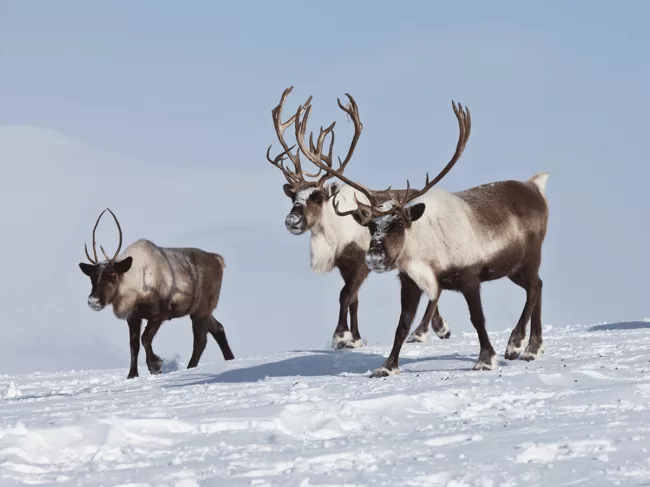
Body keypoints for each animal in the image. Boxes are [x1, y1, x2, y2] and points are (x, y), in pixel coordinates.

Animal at [78, 208, 235, 379]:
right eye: (92, 276)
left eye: (113, 275)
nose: (93, 300)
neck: (133, 285)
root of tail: (218, 260)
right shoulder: (133, 317)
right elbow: (133, 345)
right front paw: (132, 375)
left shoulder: (160, 314)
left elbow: (145, 338)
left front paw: (156, 366)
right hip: (201, 310)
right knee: (218, 329)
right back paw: (230, 360)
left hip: (201, 310)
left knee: (200, 340)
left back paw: (191, 368)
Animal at [266, 86, 451, 350]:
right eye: (293, 197)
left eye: (318, 197)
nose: (292, 220)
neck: (334, 232)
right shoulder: (345, 266)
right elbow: (353, 300)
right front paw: (355, 338)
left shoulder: (361, 264)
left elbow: (345, 295)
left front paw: (340, 336)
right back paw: (440, 327)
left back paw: (424, 331)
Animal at [300, 98, 550, 377]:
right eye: (371, 226)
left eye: (399, 223)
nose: (374, 257)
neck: (424, 252)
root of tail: (535, 188)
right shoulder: (409, 282)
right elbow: (402, 324)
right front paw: (387, 366)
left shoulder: (469, 277)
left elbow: (477, 318)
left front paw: (486, 359)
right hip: (513, 268)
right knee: (538, 286)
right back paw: (533, 348)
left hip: (528, 258)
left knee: (534, 288)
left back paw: (516, 344)